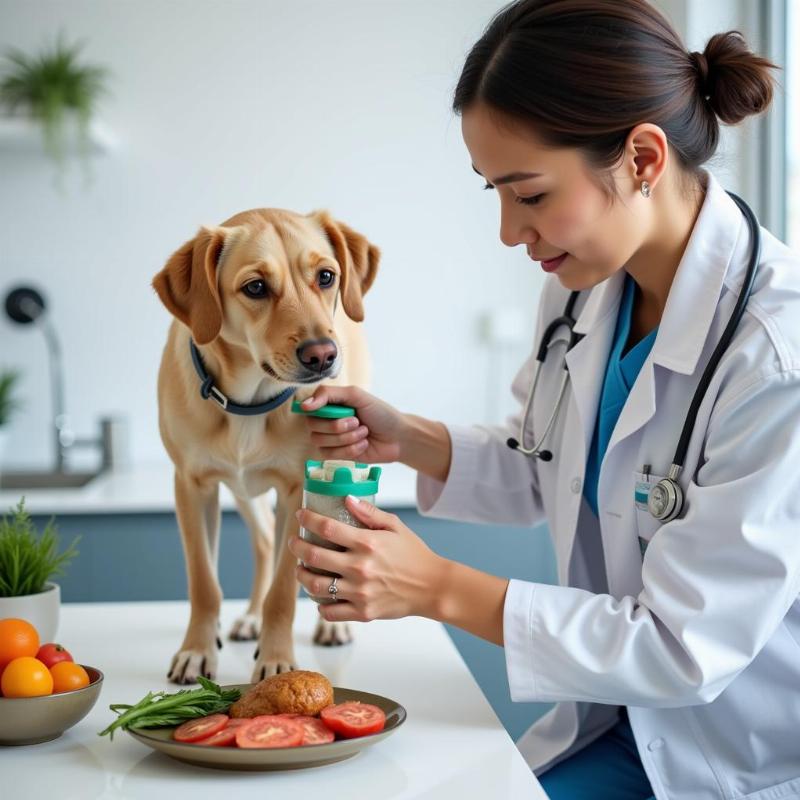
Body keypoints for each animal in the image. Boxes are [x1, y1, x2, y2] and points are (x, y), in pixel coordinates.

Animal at [151, 206, 382, 680]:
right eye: (255, 286)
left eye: (326, 276)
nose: (323, 355)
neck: (248, 403)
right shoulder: (191, 486)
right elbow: (204, 583)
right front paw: (197, 650)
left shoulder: (297, 489)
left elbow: (283, 589)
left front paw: (276, 659)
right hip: (243, 491)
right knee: (264, 544)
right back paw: (251, 617)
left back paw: (331, 625)